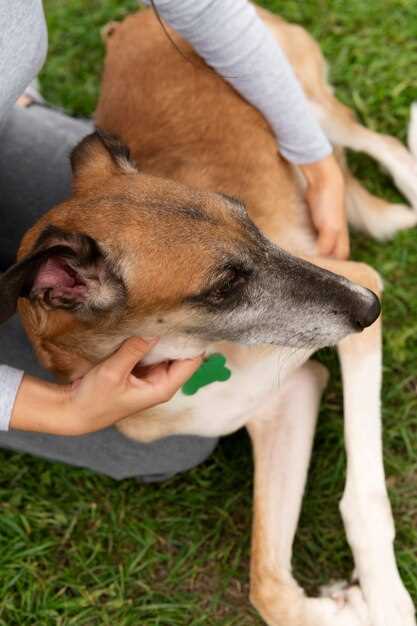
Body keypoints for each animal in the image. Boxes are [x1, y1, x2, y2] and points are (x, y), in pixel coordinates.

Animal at [0, 6, 416, 624]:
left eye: (251, 222)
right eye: (223, 287)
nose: (372, 303)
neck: (206, 360)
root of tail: (134, 15)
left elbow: (363, 497)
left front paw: (385, 598)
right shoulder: (285, 403)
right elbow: (267, 585)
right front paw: (347, 605)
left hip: (302, 104)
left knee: (375, 143)